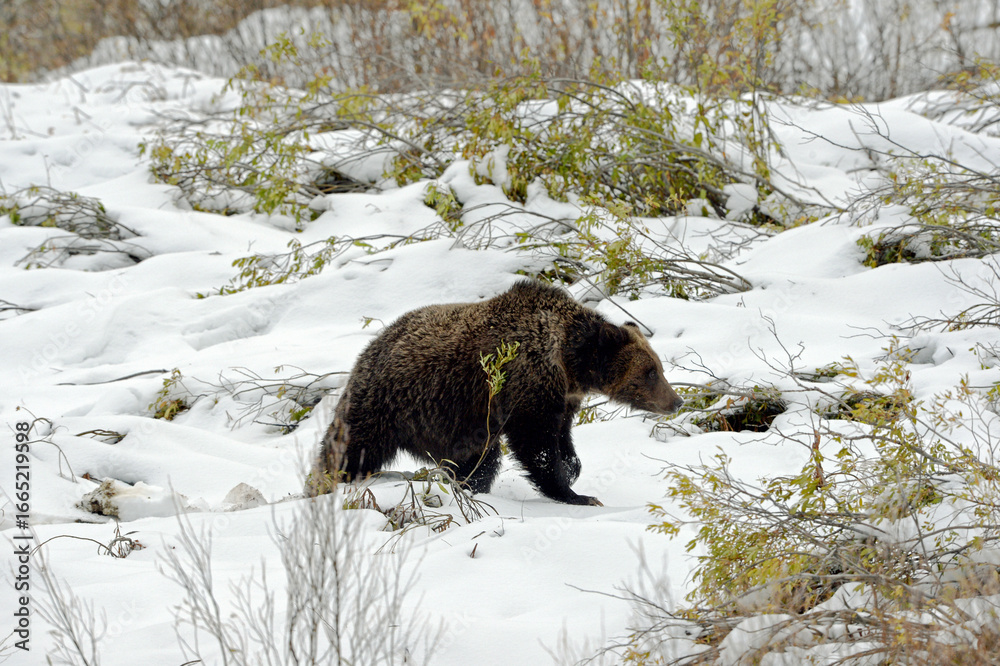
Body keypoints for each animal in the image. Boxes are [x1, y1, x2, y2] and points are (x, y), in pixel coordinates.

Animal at [310, 280, 683, 506]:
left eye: (659, 367)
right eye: (651, 372)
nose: (676, 401)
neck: (570, 361)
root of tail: (369, 350)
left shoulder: (563, 397)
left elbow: (561, 438)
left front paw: (573, 467)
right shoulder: (528, 381)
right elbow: (536, 445)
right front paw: (577, 494)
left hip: (457, 423)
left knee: (479, 459)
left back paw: (467, 486)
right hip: (394, 402)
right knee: (351, 448)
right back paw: (323, 484)